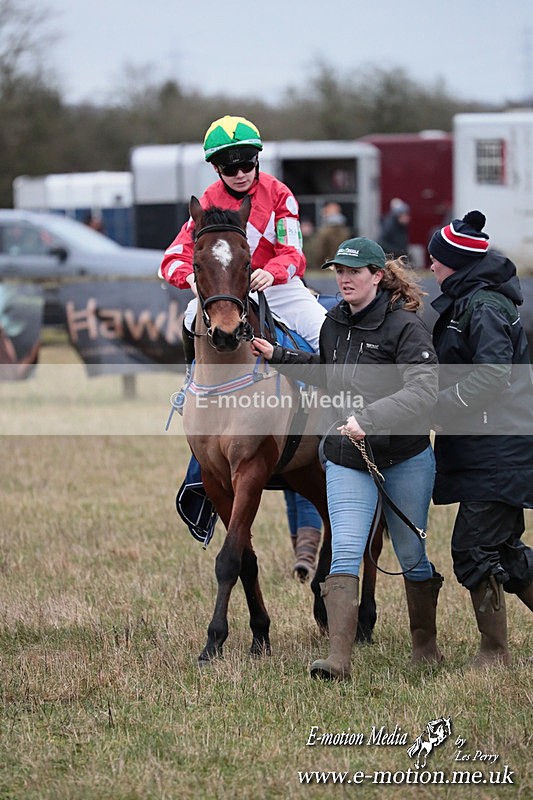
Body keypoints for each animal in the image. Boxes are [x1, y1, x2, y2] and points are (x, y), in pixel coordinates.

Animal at [183, 195, 381, 664]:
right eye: (197, 262)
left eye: (247, 260)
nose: (225, 331)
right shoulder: (217, 478)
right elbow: (245, 559)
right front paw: (259, 635)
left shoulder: (252, 469)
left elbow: (229, 558)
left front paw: (214, 639)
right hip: (308, 471)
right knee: (331, 520)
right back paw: (325, 605)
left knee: (373, 536)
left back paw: (363, 620)